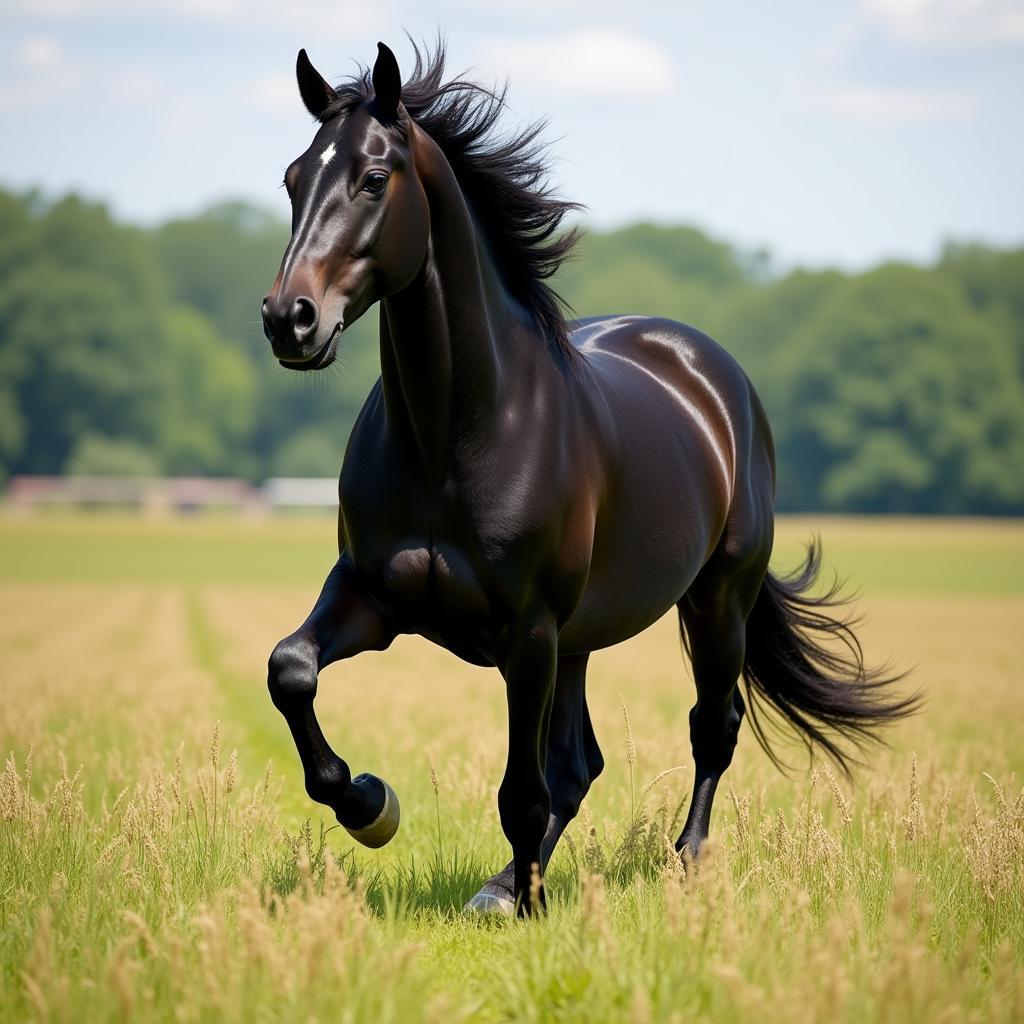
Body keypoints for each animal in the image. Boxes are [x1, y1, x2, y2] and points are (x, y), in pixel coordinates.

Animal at [260, 44, 917, 917]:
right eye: (293, 179)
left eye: (372, 179)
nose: (289, 320)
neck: (453, 437)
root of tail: (712, 373)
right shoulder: (374, 596)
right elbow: (291, 670)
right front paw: (370, 805)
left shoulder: (528, 633)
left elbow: (520, 790)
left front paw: (532, 911)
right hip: (581, 638)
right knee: (581, 763)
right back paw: (503, 885)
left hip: (714, 603)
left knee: (711, 726)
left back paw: (680, 865)